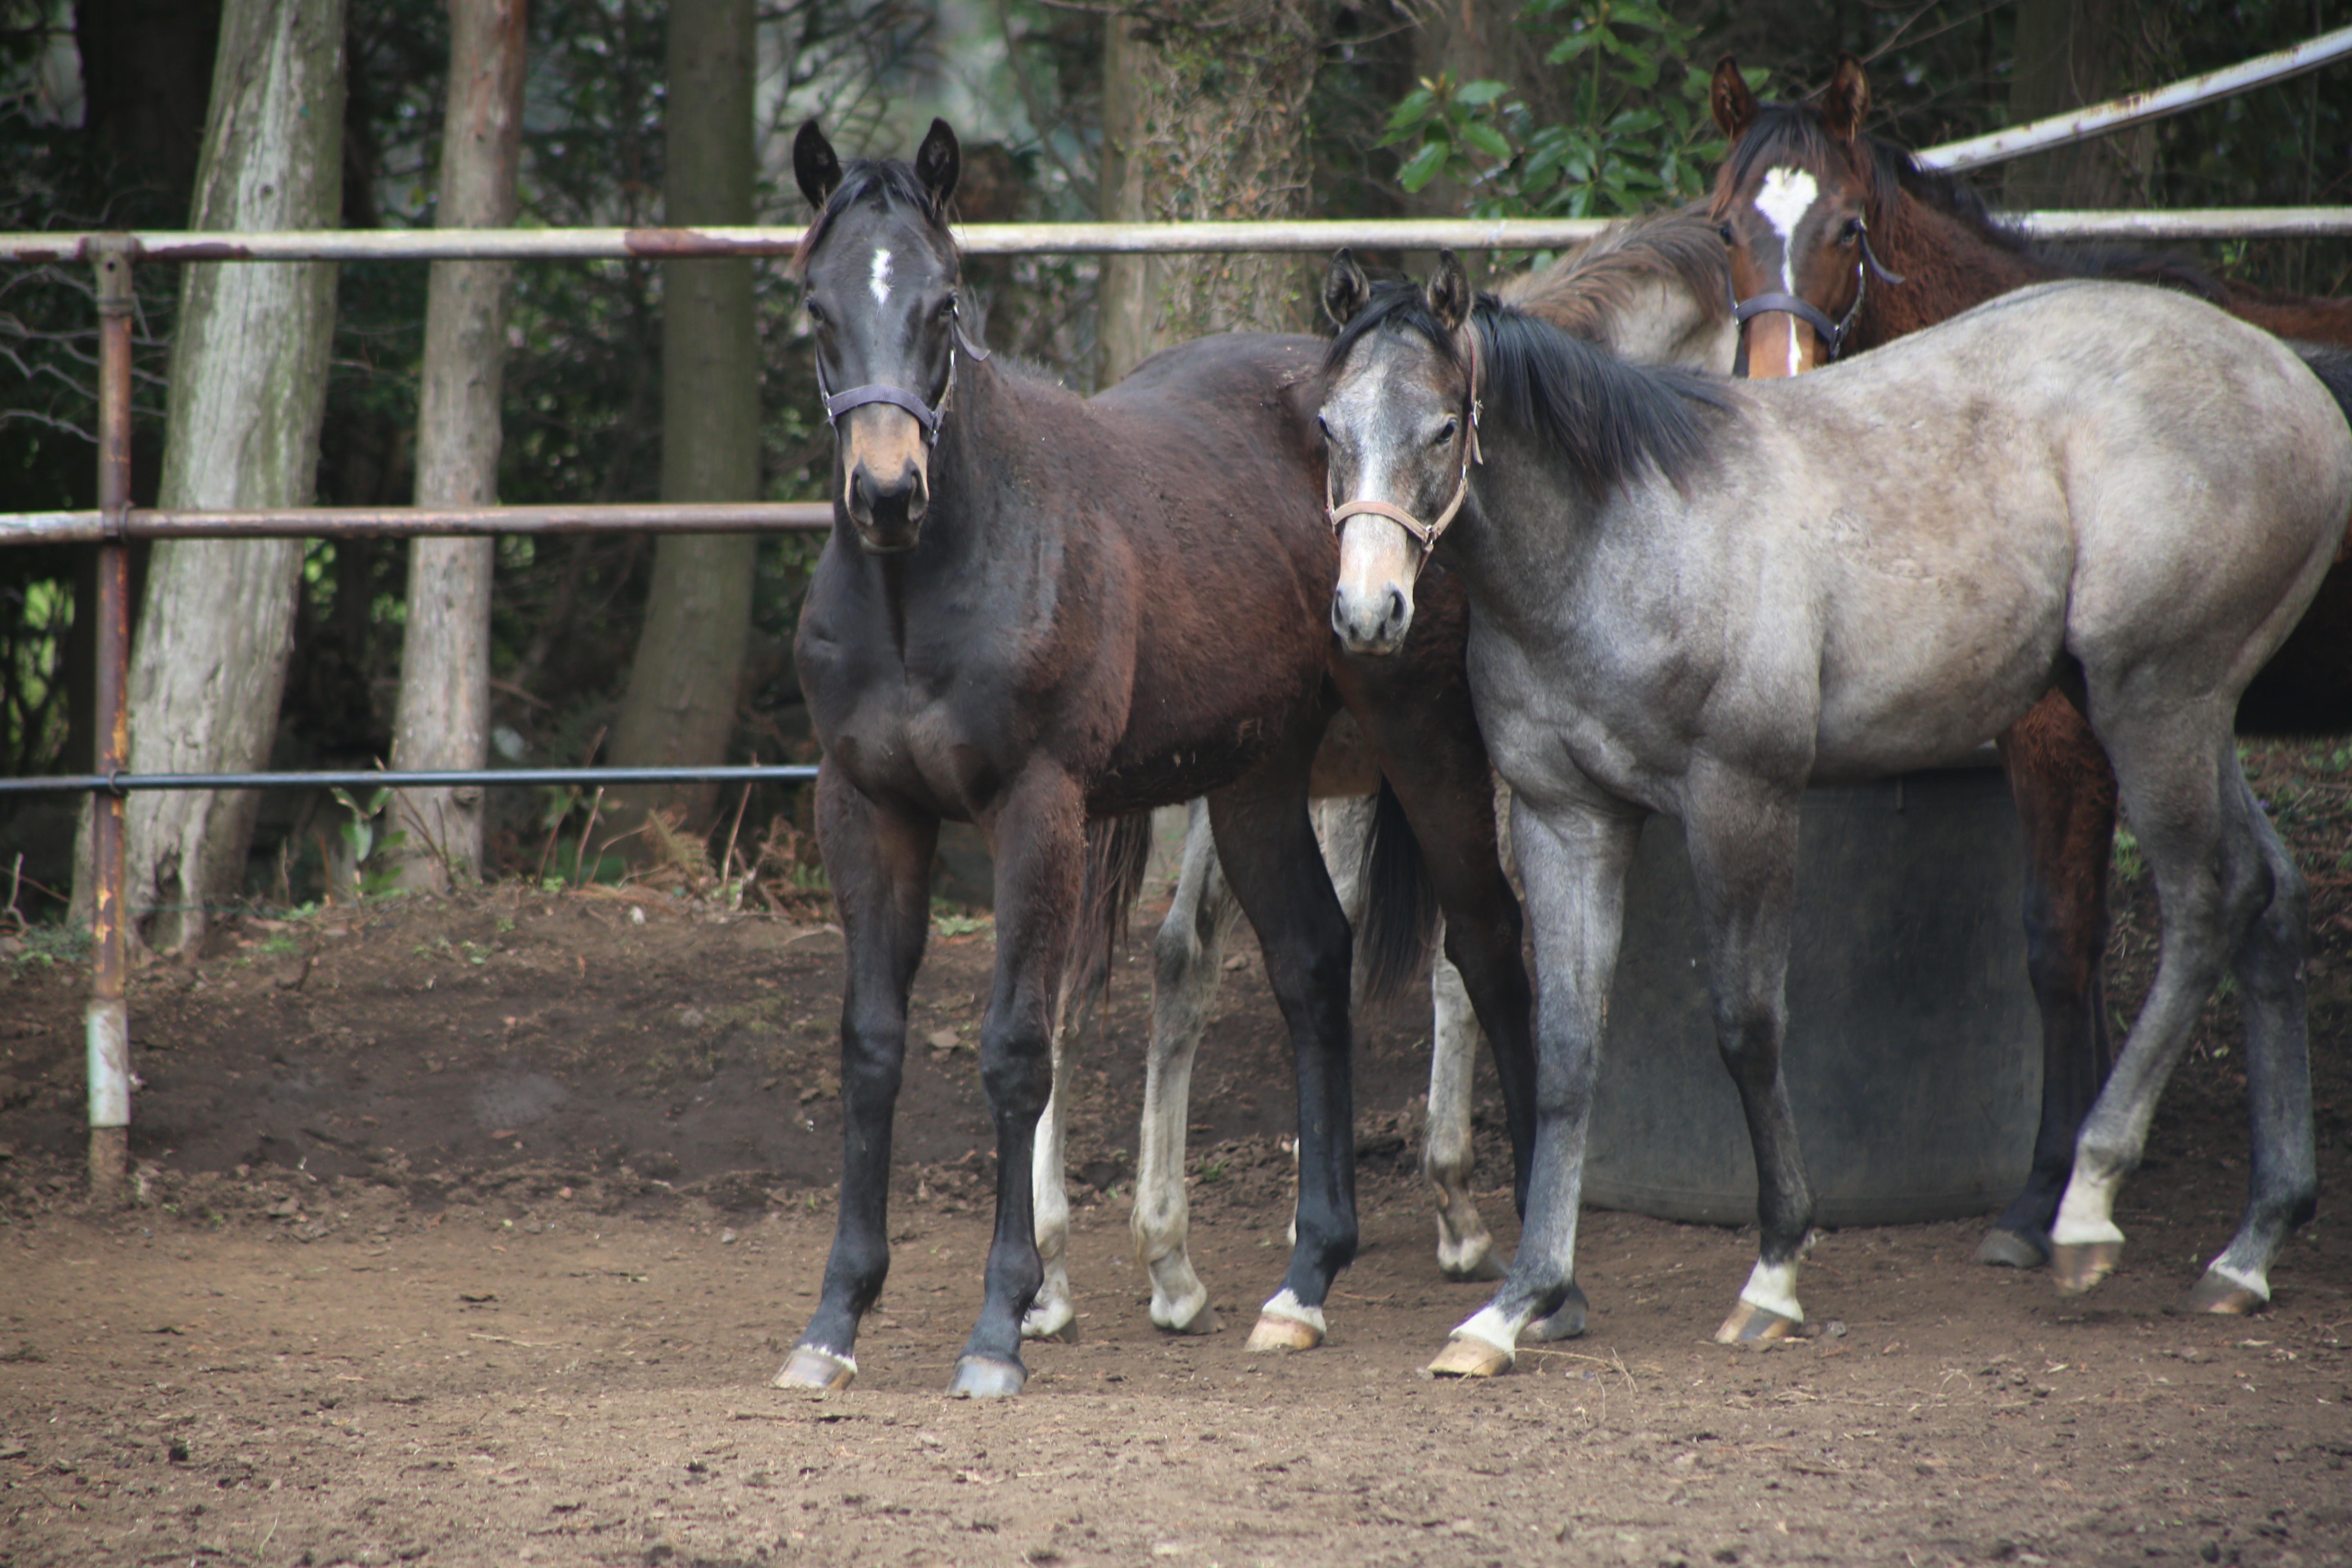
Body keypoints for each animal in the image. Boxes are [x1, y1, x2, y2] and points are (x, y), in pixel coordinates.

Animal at [776, 122, 1543, 1401]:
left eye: (944, 303)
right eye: (815, 308)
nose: (886, 492)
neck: (920, 592)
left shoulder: (1037, 810)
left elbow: (1017, 1048)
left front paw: (999, 1325)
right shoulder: (867, 810)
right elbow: (870, 1047)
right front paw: (835, 1318)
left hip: (1423, 740)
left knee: (1484, 944)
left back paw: (1527, 1253)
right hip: (1254, 781)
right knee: (1311, 963)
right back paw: (1307, 1277)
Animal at [1326, 255, 2352, 1373]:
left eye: (1441, 428)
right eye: (1329, 425)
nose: (1368, 614)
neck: (1618, 543)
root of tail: (2294, 387)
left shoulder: (1740, 800)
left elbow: (1748, 1029)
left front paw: (1773, 1270)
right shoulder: (1569, 819)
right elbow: (1563, 1052)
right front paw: (1519, 1300)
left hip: (2155, 700)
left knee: (2209, 902)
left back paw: (2086, 1205)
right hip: (2175, 710)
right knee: (2270, 898)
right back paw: (2250, 1246)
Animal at [1703, 55, 2352, 1278]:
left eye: (1848, 227)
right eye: (1724, 228)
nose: (1779, 377)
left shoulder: (2059, 734)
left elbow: (2058, 944)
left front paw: (2049, 1187)